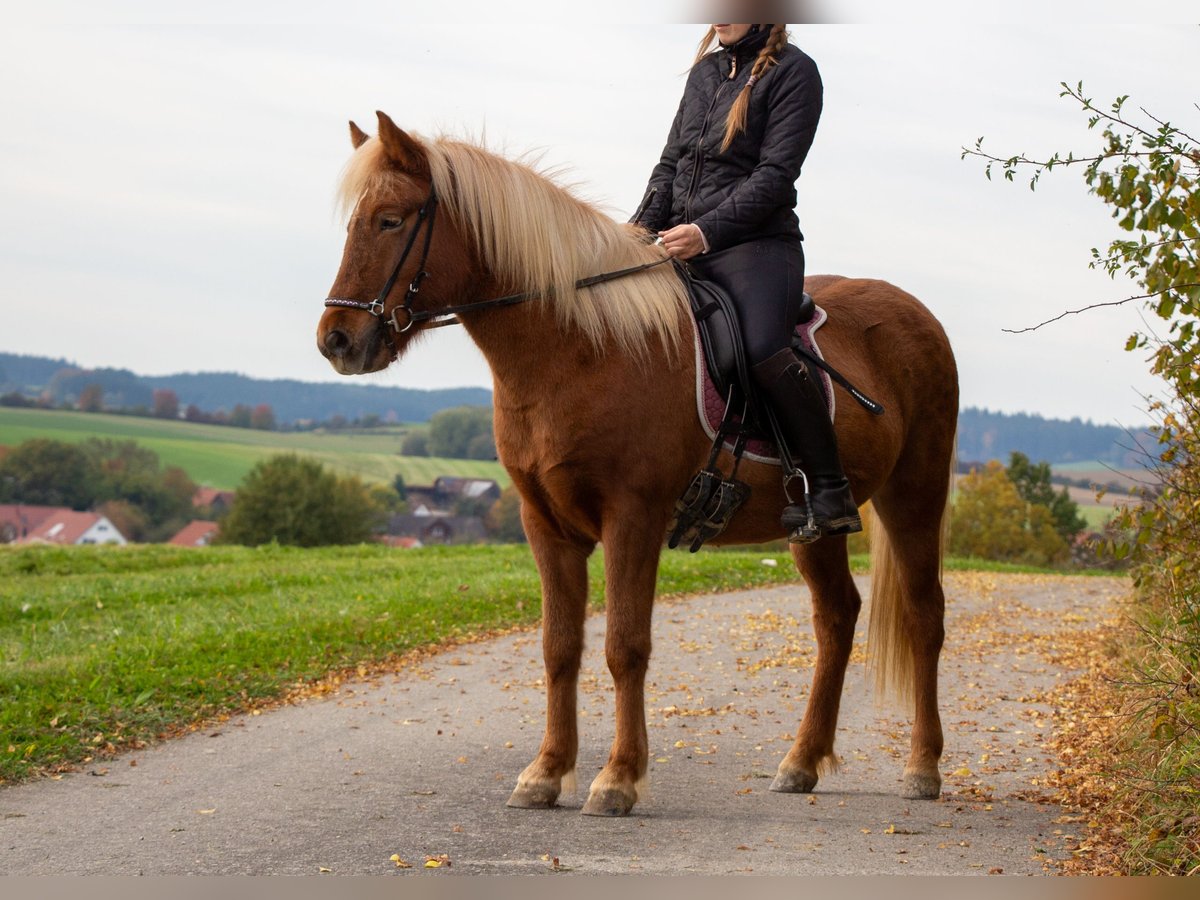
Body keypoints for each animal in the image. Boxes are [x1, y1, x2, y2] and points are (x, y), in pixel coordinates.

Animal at [317, 112, 959, 817]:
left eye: (390, 221)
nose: (336, 341)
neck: (576, 350)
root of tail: (917, 314)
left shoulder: (633, 517)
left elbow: (625, 646)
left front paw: (619, 777)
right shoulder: (547, 526)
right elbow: (559, 648)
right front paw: (546, 772)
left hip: (915, 494)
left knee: (925, 616)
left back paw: (923, 766)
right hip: (813, 524)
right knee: (837, 618)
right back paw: (802, 761)